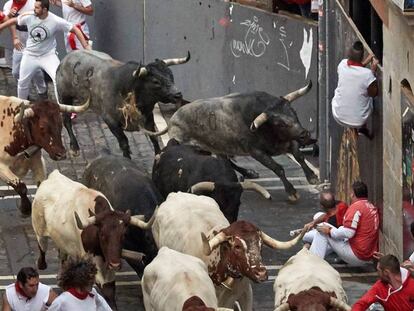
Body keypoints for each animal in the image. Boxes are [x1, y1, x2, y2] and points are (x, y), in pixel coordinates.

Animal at [32, 169, 157, 310]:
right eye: (102, 234)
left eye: (123, 235)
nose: (115, 264)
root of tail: (53, 175)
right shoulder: (94, 260)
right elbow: (106, 289)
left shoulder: (108, 260)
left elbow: (110, 286)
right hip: (39, 228)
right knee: (42, 247)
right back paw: (41, 264)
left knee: (62, 256)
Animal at [55, 50, 190, 160]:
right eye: (156, 81)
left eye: (171, 75)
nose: (178, 94)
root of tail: (66, 59)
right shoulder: (111, 121)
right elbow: (124, 142)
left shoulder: (148, 118)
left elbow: (154, 138)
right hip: (64, 97)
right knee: (66, 120)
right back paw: (74, 148)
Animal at [154, 81, 316, 202]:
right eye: (280, 123)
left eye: (294, 112)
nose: (305, 134)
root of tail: (174, 118)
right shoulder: (256, 152)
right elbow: (278, 168)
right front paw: (292, 192)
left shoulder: (289, 141)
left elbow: (300, 156)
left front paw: (312, 177)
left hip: (217, 147)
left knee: (226, 160)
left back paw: (249, 172)